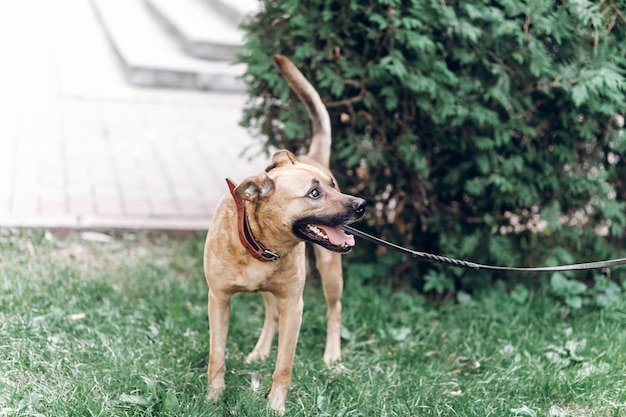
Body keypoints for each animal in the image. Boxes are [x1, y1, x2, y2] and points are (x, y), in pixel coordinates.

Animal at [202, 55, 364, 412]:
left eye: (333, 186)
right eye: (314, 193)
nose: (361, 205)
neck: (261, 245)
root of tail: (309, 155)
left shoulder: (294, 305)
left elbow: (284, 366)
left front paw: (275, 406)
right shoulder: (218, 300)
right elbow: (217, 355)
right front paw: (212, 397)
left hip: (330, 271)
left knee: (335, 310)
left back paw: (332, 356)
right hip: (271, 290)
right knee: (270, 312)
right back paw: (260, 351)